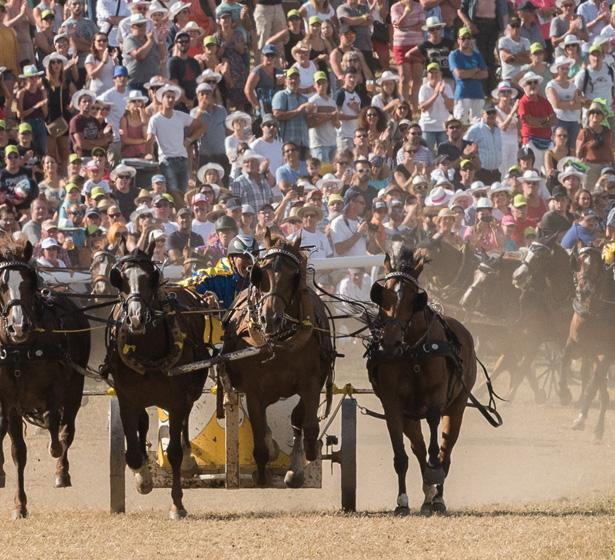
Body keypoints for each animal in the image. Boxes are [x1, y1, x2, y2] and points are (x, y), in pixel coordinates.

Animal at [0, 234, 90, 520]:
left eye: (29, 283)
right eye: (2, 285)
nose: (18, 326)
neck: (21, 349)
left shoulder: (55, 387)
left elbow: (53, 420)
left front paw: (55, 450)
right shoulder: (10, 400)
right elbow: (18, 450)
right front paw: (19, 505)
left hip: (75, 388)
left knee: (67, 427)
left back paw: (62, 471)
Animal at [104, 242, 213, 520]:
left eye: (149, 278)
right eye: (119, 279)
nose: (136, 318)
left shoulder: (176, 400)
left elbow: (173, 451)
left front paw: (177, 505)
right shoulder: (126, 398)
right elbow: (132, 452)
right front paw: (143, 478)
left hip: (190, 391)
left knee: (184, 422)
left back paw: (188, 457)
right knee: (142, 423)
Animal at [223, 231, 334, 486]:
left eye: (294, 275)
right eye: (259, 273)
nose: (269, 318)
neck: (280, 341)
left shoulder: (311, 381)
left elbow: (306, 423)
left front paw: (302, 463)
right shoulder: (253, 391)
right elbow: (259, 435)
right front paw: (263, 471)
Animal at [368, 249, 478, 516]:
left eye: (412, 299)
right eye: (382, 295)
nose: (389, 343)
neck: (412, 353)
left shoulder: (436, 401)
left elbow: (435, 446)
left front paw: (434, 483)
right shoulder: (392, 406)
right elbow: (401, 457)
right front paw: (402, 502)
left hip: (457, 406)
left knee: (445, 451)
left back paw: (437, 498)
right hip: (410, 417)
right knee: (417, 449)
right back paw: (427, 497)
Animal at [560, 247, 612, 440]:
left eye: (598, 265)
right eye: (578, 262)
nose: (584, 291)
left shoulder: (606, 354)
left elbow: (593, 385)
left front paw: (585, 419)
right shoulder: (577, 345)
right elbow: (564, 360)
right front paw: (564, 394)